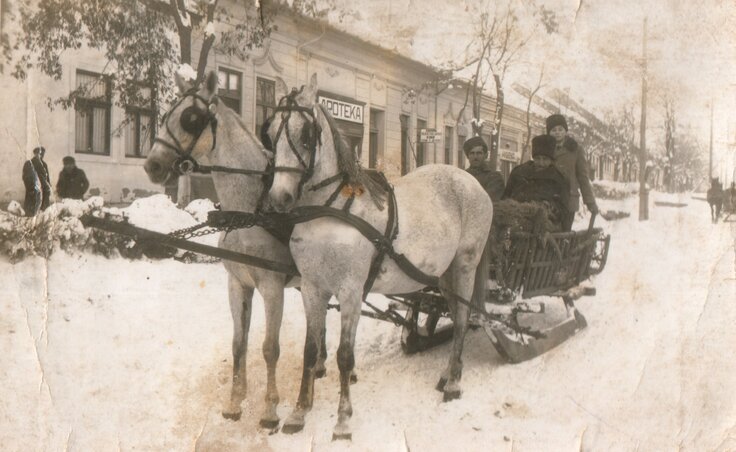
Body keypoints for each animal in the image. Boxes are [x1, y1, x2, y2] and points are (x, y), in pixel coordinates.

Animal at [144, 70, 328, 430]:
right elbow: (238, 343)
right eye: (165, 115)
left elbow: (270, 348)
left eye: (191, 118)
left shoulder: (272, 287)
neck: (251, 210)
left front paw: (270, 410)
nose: (152, 166)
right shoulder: (237, 283)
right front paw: (234, 402)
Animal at [264, 75, 494, 442]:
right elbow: (310, 350)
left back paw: (454, 383)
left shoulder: (351, 291)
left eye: (306, 133)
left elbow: (345, 356)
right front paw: (299, 413)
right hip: (443, 274)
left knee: (461, 318)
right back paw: (448, 373)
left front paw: (343, 422)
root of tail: (470, 179)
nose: (279, 198)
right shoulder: (313, 288)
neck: (330, 210)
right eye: (270, 132)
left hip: (465, 266)